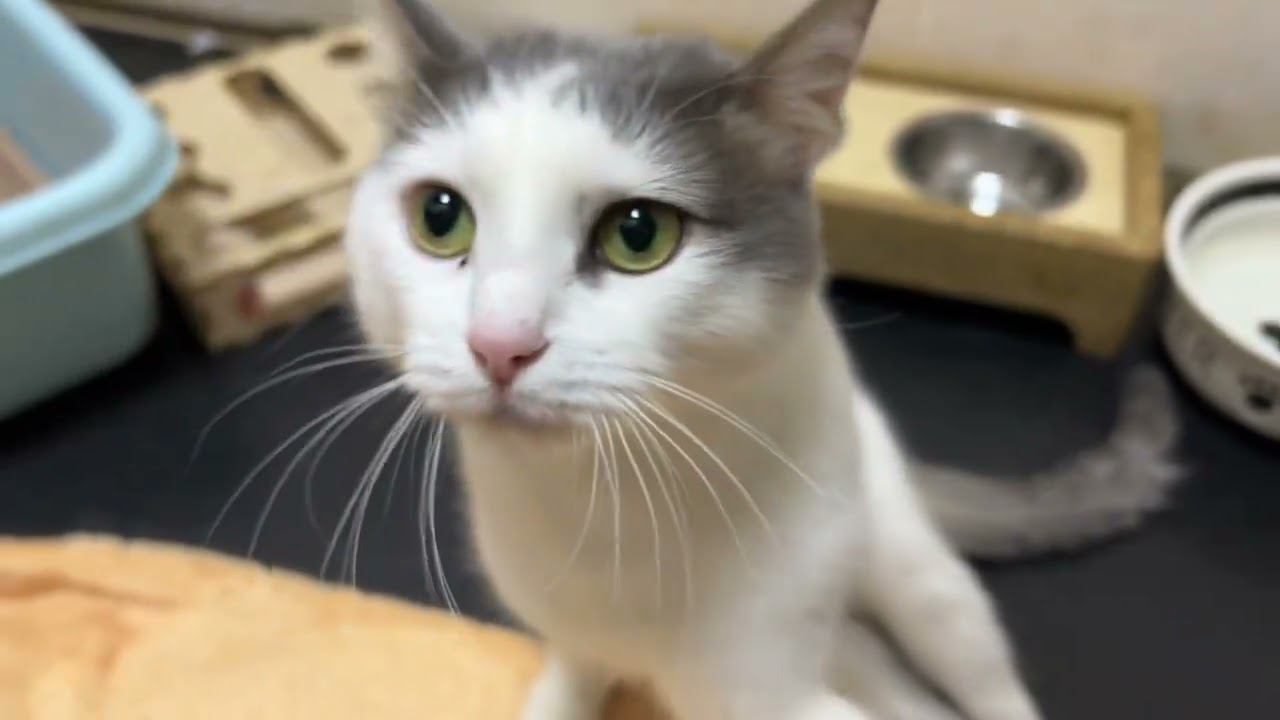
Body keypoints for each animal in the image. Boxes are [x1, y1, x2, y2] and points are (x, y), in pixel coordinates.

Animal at [343, 0, 1181, 717]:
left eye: (639, 233)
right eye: (440, 217)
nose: (500, 343)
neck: (604, 512)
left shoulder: (772, 686)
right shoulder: (575, 637)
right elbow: (568, 684)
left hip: (915, 578)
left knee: (974, 670)